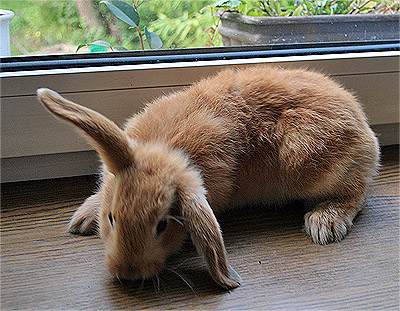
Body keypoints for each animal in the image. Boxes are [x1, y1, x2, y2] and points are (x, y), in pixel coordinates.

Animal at [36, 66, 378, 290]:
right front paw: (83, 218)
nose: (128, 274)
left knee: (357, 192)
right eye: (112, 217)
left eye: (162, 225)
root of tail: (364, 127)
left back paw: (324, 223)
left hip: (309, 164)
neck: (167, 148)